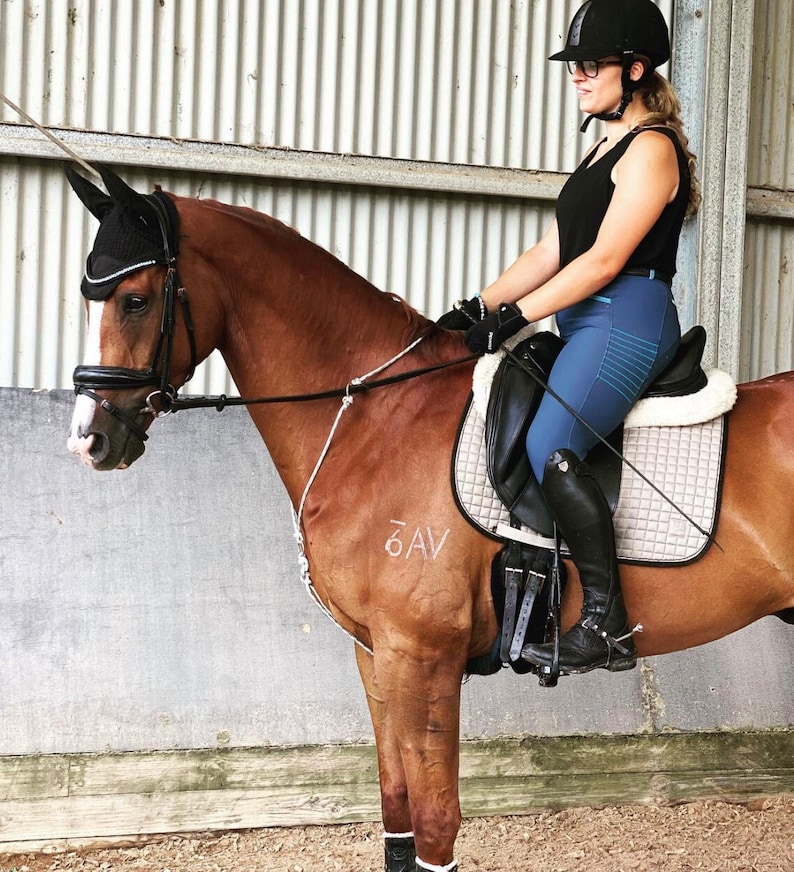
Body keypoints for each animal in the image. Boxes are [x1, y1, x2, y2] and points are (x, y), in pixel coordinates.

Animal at [66, 165, 792, 872]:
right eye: (88, 295)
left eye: (135, 299)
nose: (89, 440)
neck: (376, 418)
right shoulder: (375, 652)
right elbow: (396, 809)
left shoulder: (423, 653)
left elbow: (436, 823)